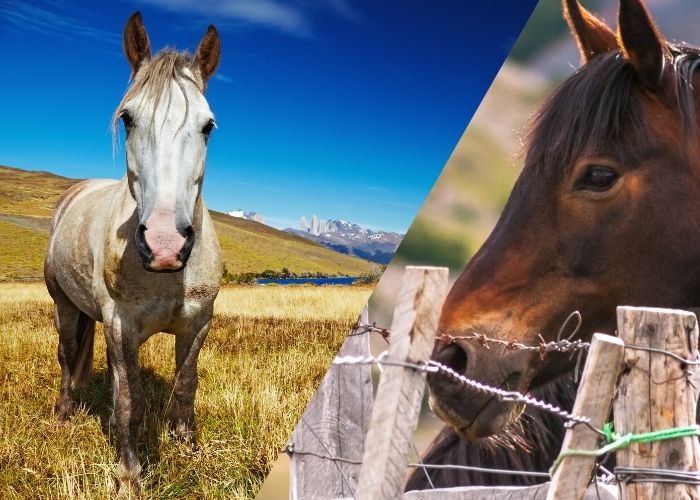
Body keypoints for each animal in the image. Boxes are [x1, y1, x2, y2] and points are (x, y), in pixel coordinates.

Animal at [44, 12, 223, 497]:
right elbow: (130, 402)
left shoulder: (198, 323)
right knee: (67, 355)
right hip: (65, 305)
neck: (165, 276)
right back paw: (64, 414)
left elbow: (186, 386)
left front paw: (190, 448)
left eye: (208, 126)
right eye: (127, 119)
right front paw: (129, 474)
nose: (165, 244)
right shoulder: (120, 326)